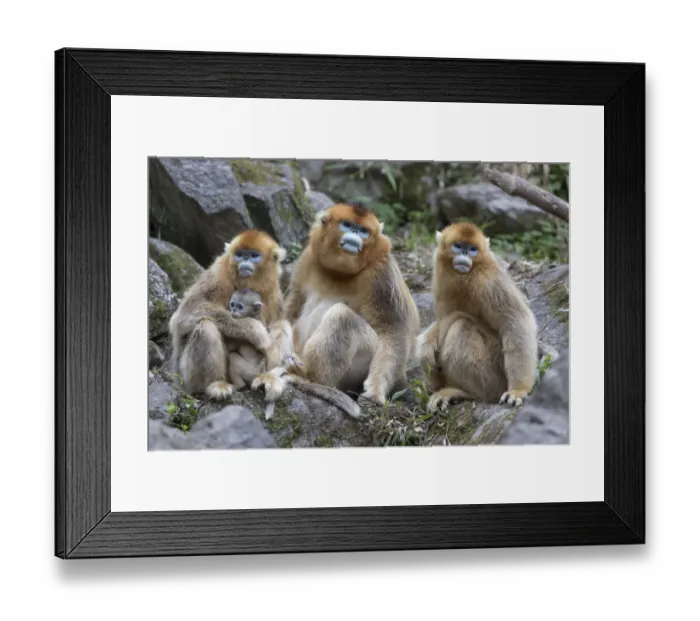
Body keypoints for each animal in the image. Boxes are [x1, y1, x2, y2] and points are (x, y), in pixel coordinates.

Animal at [168, 229, 294, 400]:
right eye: (240, 254)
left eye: (253, 255)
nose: (245, 259)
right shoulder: (217, 273)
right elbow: (183, 317)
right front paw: (255, 330)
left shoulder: (273, 289)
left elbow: (278, 322)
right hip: (186, 377)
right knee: (206, 324)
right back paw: (215, 384)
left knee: (282, 324)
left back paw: (268, 377)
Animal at [251, 202, 420, 418]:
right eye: (347, 225)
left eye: (363, 230)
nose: (355, 233)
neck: (339, 272)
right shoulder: (308, 258)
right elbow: (291, 308)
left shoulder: (381, 272)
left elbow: (392, 331)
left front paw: (374, 392)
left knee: (342, 317)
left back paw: (308, 378)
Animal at [415, 222, 539, 414]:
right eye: (458, 246)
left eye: (472, 249)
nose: (465, 253)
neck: (467, 276)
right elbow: (442, 319)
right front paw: (425, 348)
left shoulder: (488, 281)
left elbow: (516, 320)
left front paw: (519, 390)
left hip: (493, 377)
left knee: (460, 325)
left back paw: (461, 391)